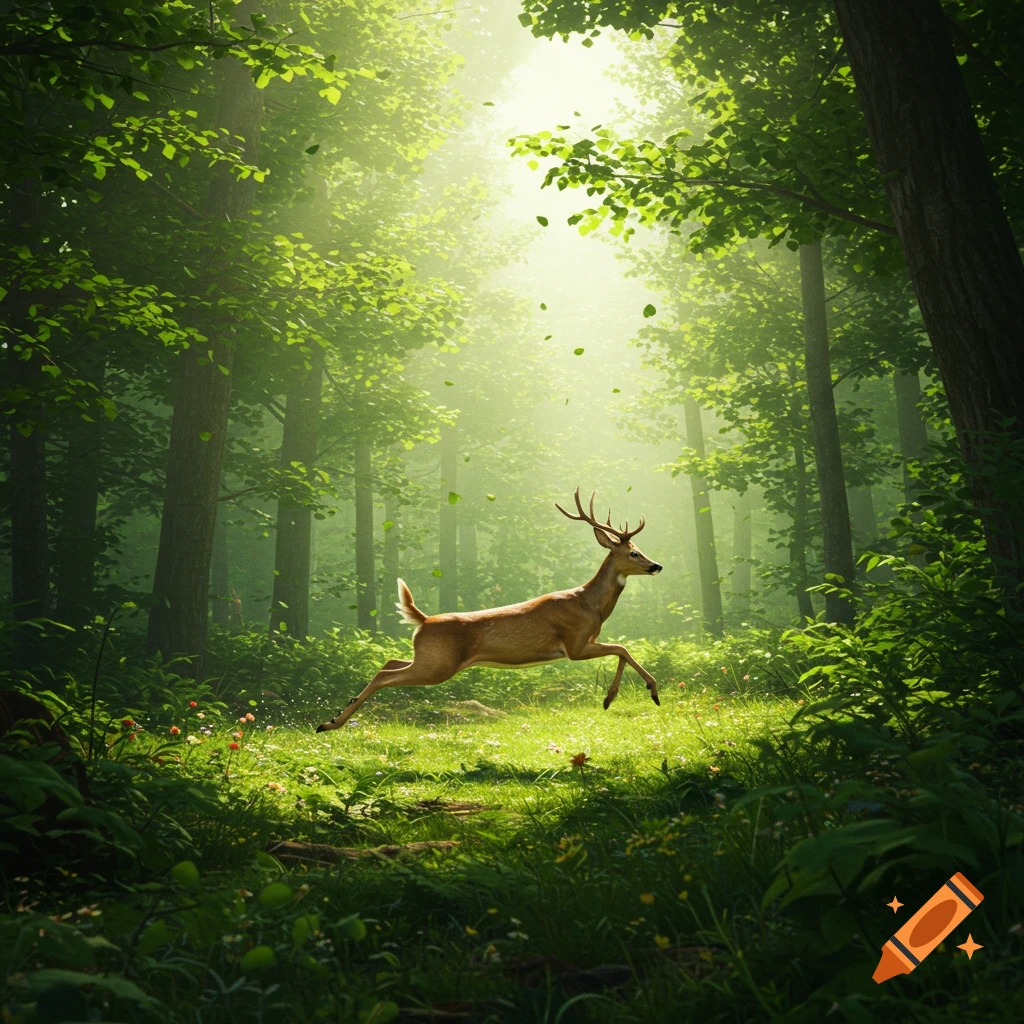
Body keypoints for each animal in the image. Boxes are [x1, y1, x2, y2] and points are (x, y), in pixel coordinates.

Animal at [315, 488, 663, 733]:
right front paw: (645, 692)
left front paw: (611, 697)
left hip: (429, 658)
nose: (656, 565)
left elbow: (621, 651)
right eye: (633, 553)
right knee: (384, 675)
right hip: (438, 666)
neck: (590, 605)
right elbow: (622, 648)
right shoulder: (574, 644)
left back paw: (332, 719)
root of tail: (424, 620)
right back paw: (329, 723)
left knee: (388, 662)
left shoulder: (581, 644)